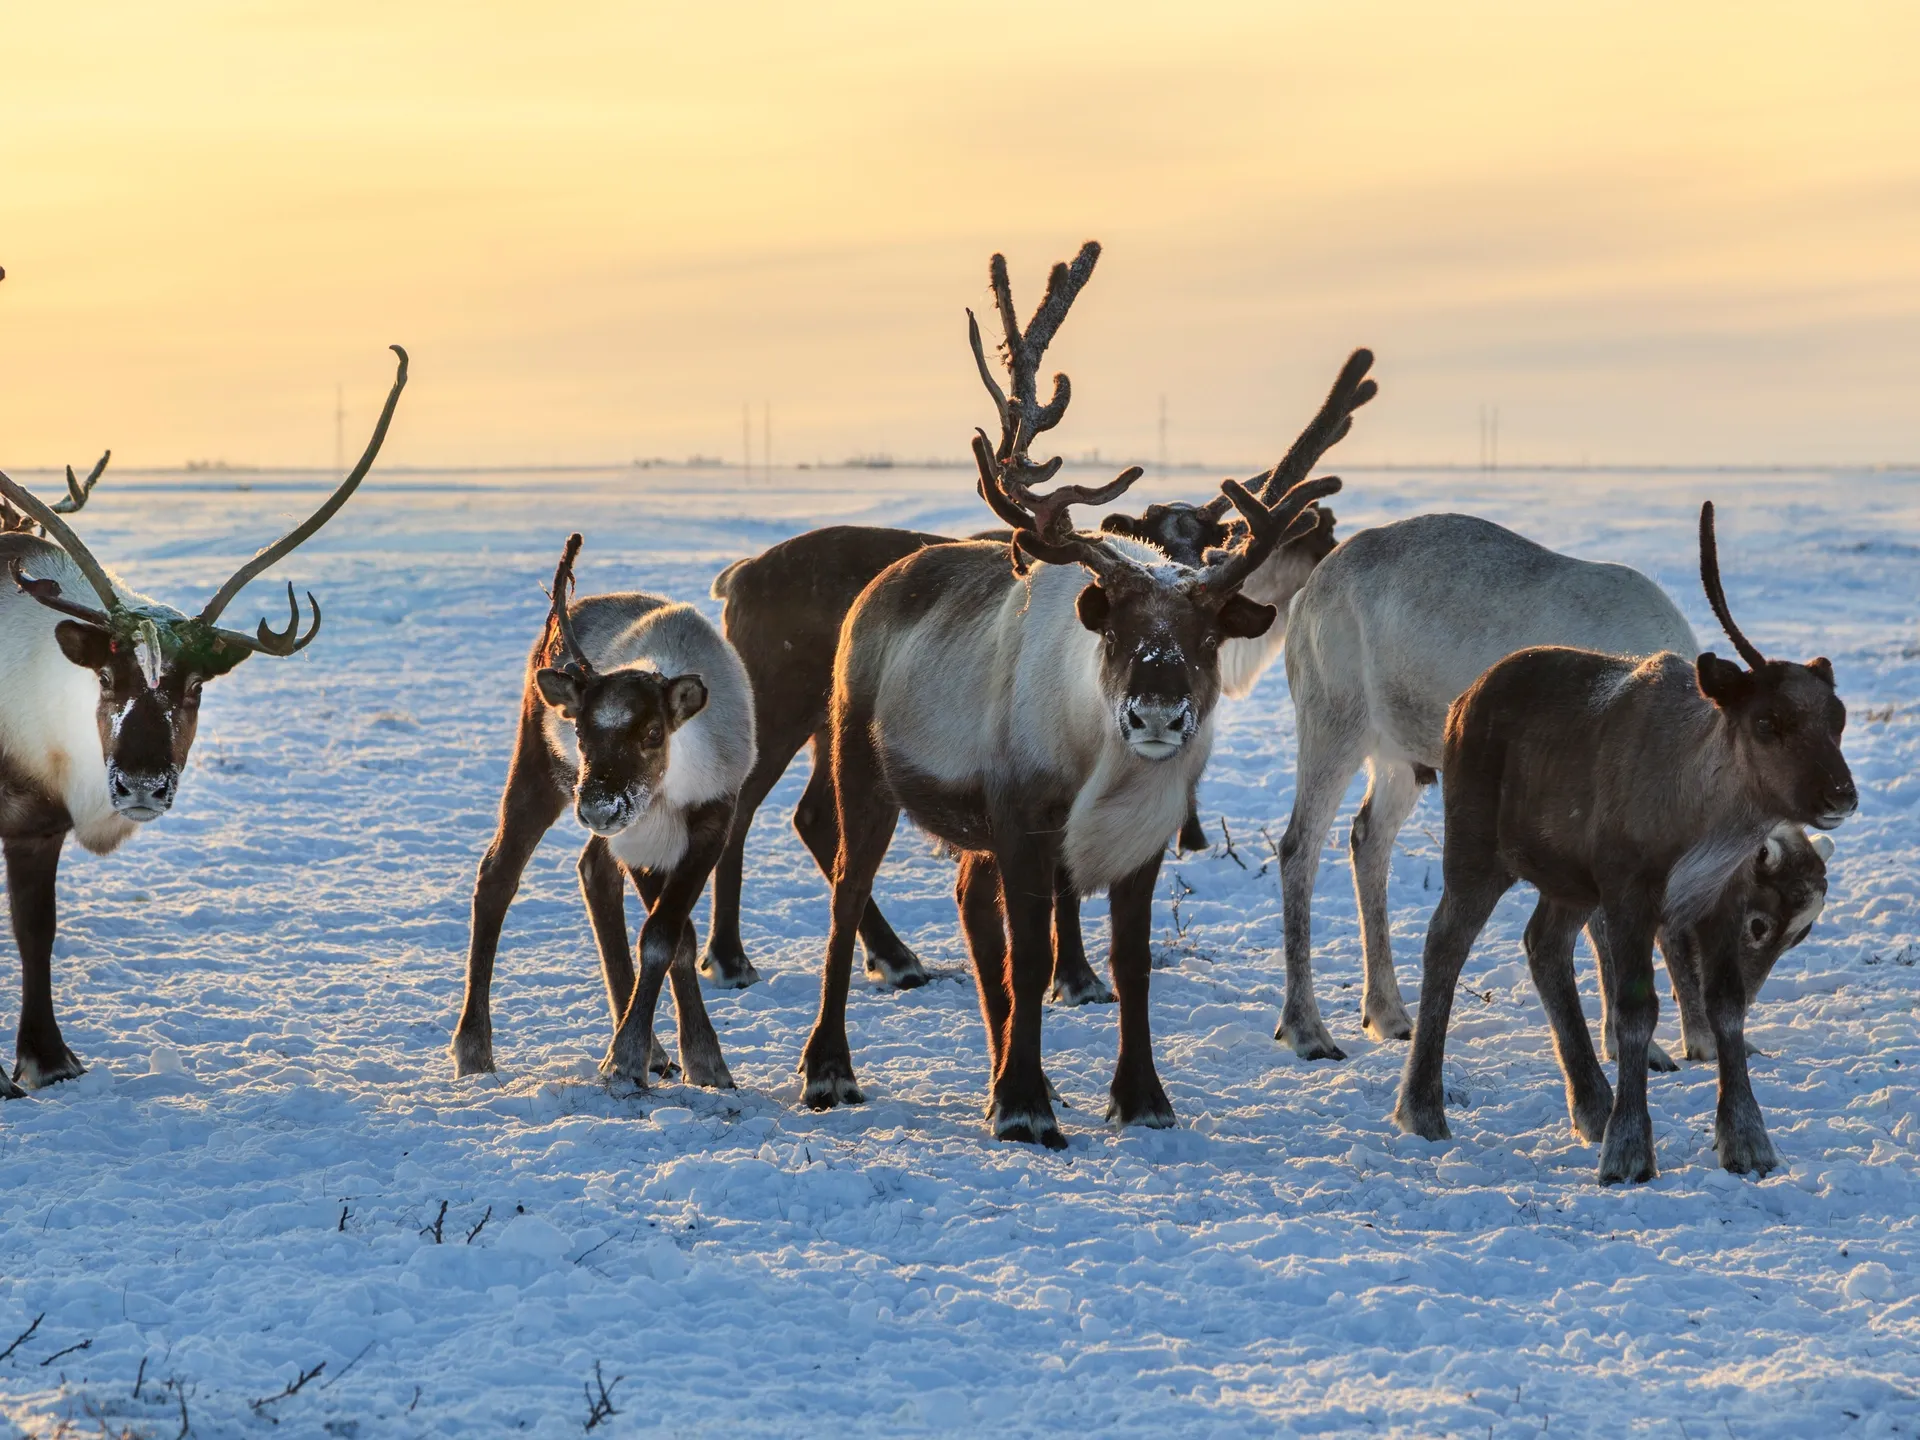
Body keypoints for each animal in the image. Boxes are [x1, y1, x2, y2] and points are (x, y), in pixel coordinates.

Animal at [449, 537, 748, 1090]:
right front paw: (628, 1059)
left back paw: (657, 1051)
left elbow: (669, 935)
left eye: (653, 732)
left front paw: (697, 1060)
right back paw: (473, 1047)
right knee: (498, 874)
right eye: (582, 732)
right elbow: (667, 937)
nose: (597, 808)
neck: (673, 783)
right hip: (539, 770)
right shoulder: (637, 837)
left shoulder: (712, 820)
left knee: (592, 870)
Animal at [1397, 503, 1858, 1182]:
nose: (1841, 796)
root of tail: (1461, 701)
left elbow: (1725, 1008)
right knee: (1444, 945)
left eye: (1839, 717)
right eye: (1768, 721)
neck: (1703, 822)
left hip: (1566, 882)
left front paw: (1747, 1142)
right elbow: (1637, 1012)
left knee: (1543, 944)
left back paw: (1591, 1107)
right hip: (1476, 850)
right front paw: (1630, 1152)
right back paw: (1423, 1110)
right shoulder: (1628, 892)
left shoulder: (1717, 896)